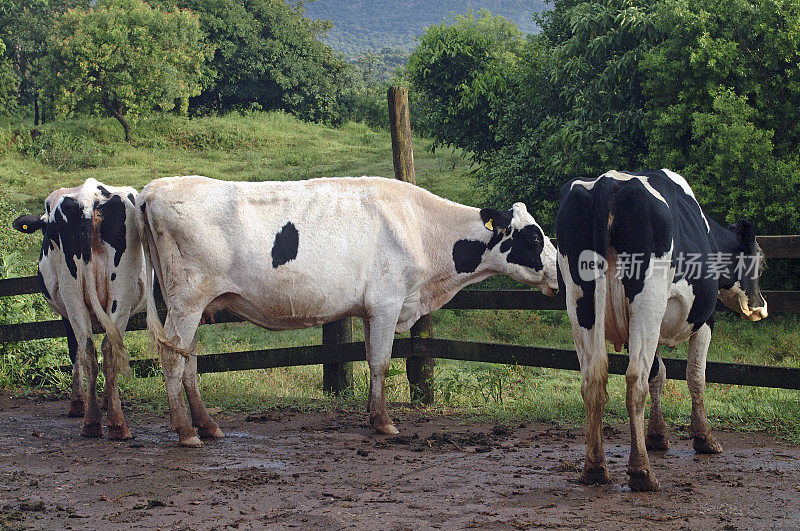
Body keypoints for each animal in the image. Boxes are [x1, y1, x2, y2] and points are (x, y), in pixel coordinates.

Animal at [11, 179, 145, 440]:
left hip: (74, 294)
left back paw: (93, 422)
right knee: (105, 348)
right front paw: (90, 401)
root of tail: (88, 197)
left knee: (89, 348)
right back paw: (114, 423)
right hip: (118, 293)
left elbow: (76, 350)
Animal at [138, 177, 560, 446]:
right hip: (187, 300)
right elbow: (381, 361)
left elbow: (372, 360)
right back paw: (185, 431)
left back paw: (207, 426)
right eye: (533, 237)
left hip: (193, 306)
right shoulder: (388, 303)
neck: (422, 228)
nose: (561, 269)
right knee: (172, 359)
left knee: (188, 359)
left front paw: (374, 416)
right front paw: (385, 423)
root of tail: (155, 189)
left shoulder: (370, 309)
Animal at [556, 168, 768, 492]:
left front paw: (656, 435)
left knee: (593, 380)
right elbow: (695, 377)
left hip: (580, 305)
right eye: (762, 263)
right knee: (635, 381)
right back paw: (642, 472)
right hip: (648, 301)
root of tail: (607, 183)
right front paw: (704, 438)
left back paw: (594, 468)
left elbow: (659, 374)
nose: (760, 308)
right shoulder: (705, 319)